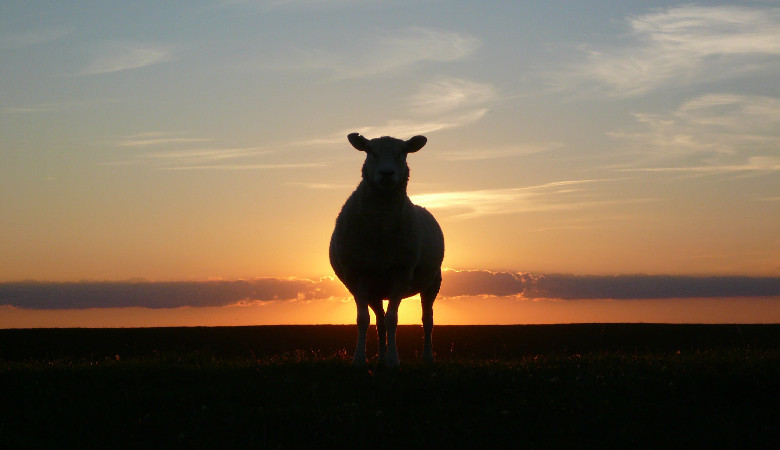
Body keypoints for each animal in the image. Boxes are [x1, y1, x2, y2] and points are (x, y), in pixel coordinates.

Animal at [328, 132, 444, 368]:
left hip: (432, 283)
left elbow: (393, 319)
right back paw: (380, 357)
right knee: (379, 321)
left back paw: (427, 357)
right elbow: (363, 320)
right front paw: (360, 360)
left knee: (427, 319)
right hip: (375, 289)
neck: (380, 225)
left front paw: (393, 360)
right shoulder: (358, 276)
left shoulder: (400, 274)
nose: (387, 173)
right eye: (371, 152)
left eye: (403, 152)